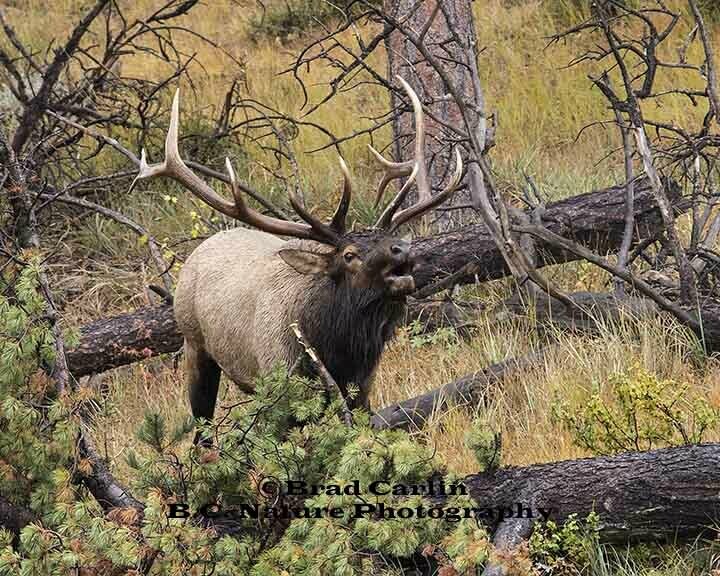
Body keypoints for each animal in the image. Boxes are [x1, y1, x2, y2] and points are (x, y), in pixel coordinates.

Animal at [130, 76, 462, 438]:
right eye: (349, 254)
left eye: (391, 238)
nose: (402, 249)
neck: (336, 351)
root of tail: (202, 249)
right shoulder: (281, 386)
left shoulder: (362, 389)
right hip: (195, 344)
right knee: (201, 427)